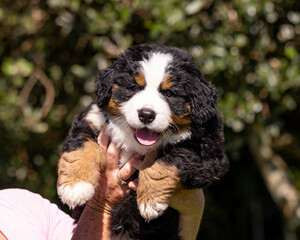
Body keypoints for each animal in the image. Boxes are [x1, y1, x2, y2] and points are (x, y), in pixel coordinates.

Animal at [57, 44, 229, 239]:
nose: (146, 115)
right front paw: (75, 187)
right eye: (134, 87)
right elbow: (81, 148)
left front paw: (151, 200)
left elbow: (165, 162)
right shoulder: (92, 119)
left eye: (169, 93)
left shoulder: (207, 153)